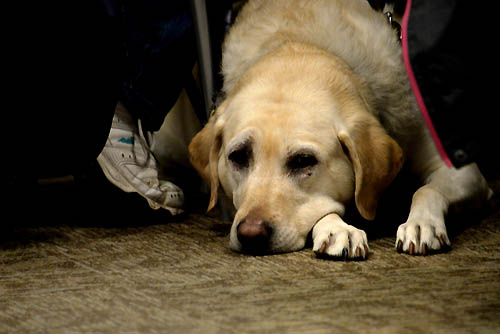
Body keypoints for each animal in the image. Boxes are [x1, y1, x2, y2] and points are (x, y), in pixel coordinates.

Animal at [188, 0, 492, 258]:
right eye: (238, 156)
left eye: (303, 161)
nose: (250, 234)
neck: (302, 41)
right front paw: (336, 228)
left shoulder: (463, 172)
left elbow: (427, 190)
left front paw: (421, 224)